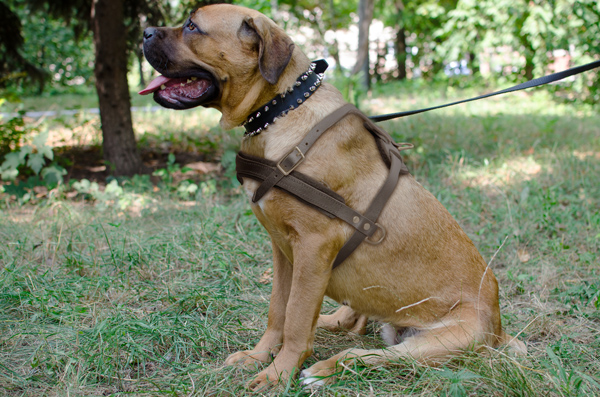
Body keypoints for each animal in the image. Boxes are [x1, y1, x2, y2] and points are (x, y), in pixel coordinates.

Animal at [141, 3, 524, 390]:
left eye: (192, 26)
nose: (144, 32)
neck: (282, 108)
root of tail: (499, 330)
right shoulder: (283, 250)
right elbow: (279, 310)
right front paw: (258, 356)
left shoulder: (313, 246)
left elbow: (295, 318)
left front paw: (279, 373)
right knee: (351, 318)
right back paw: (328, 322)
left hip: (429, 344)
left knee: (363, 353)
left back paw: (323, 369)